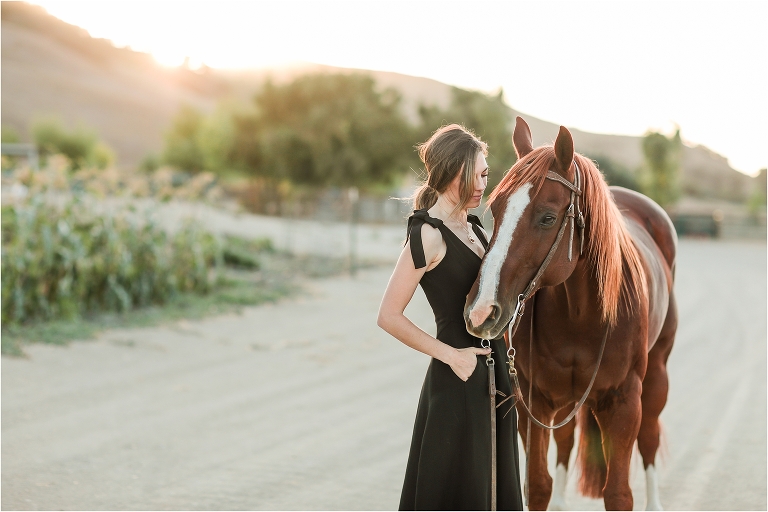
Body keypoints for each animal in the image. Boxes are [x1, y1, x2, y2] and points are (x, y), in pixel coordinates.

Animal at [463, 117, 677, 511]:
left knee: (650, 439)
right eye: (496, 210)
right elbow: (538, 484)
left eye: (548, 218)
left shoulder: (623, 402)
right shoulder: (535, 399)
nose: (481, 310)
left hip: (656, 375)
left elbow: (618, 493)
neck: (581, 315)